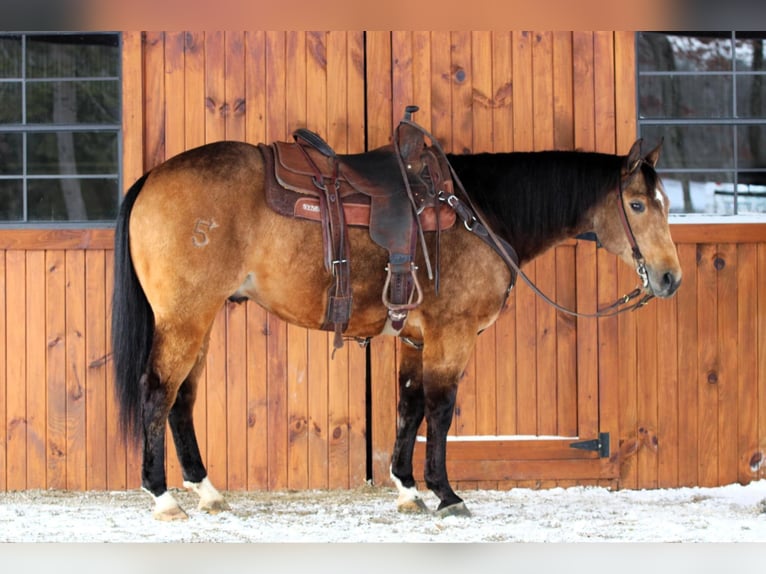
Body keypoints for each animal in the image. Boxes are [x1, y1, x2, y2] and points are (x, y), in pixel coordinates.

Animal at [111, 109, 680, 520]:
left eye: (666, 203)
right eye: (636, 205)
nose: (670, 278)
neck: (478, 213)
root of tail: (151, 177)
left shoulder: (415, 338)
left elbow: (409, 407)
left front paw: (408, 489)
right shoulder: (452, 336)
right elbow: (441, 410)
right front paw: (447, 494)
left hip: (200, 320)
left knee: (182, 399)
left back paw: (206, 491)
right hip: (185, 318)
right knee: (158, 392)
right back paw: (163, 497)